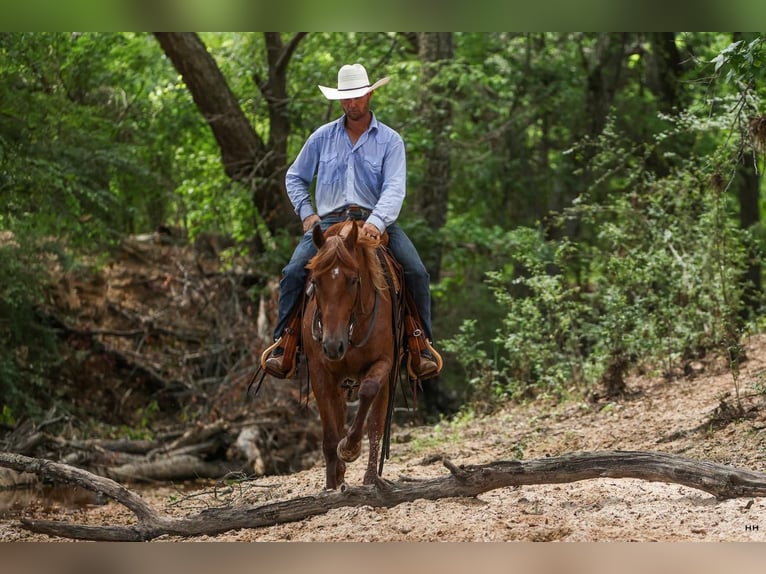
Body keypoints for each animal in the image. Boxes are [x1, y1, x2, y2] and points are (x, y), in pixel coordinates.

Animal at [304, 220, 404, 490]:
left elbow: (368, 396)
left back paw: (371, 480)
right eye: (316, 281)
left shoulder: (384, 362)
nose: (332, 345)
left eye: (352, 280)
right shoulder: (319, 371)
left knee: (376, 423)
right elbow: (330, 435)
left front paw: (349, 447)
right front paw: (330, 485)